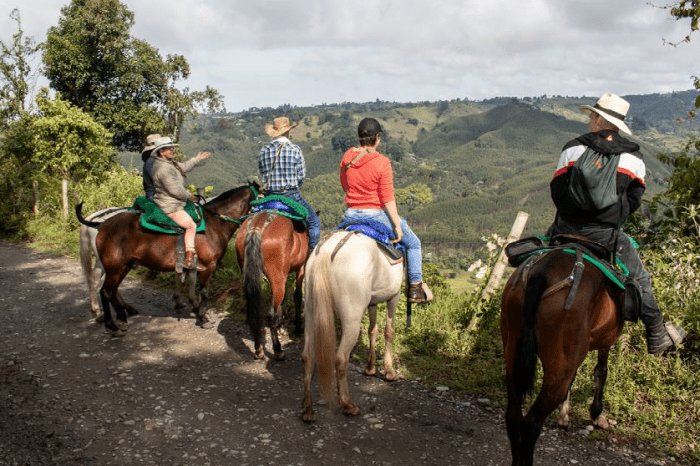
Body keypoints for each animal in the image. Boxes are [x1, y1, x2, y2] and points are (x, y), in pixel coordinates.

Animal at [75, 182, 260, 334]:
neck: (213, 225)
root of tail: (100, 224)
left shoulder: (192, 265)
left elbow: (189, 286)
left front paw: (193, 308)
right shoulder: (208, 266)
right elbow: (203, 292)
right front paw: (203, 316)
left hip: (122, 266)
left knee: (110, 290)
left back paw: (121, 316)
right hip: (114, 267)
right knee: (105, 290)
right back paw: (110, 323)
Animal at [234, 210, 308, 360]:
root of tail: (256, 227)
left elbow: (281, 302)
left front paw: (281, 326)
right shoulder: (301, 268)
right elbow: (297, 296)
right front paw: (298, 327)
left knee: (253, 308)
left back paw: (258, 348)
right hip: (277, 278)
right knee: (270, 314)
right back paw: (278, 350)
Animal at [300, 229, 404, 422]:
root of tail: (327, 250)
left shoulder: (373, 302)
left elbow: (373, 330)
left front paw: (370, 368)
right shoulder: (395, 296)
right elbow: (388, 331)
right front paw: (389, 371)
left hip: (311, 313)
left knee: (307, 357)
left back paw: (308, 409)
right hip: (351, 320)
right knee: (341, 358)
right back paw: (348, 405)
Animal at [504, 248, 624, 466]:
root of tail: (543, 271)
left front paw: (564, 417)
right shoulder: (605, 342)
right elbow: (601, 372)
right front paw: (596, 414)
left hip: (513, 356)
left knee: (513, 416)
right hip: (558, 372)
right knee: (531, 424)